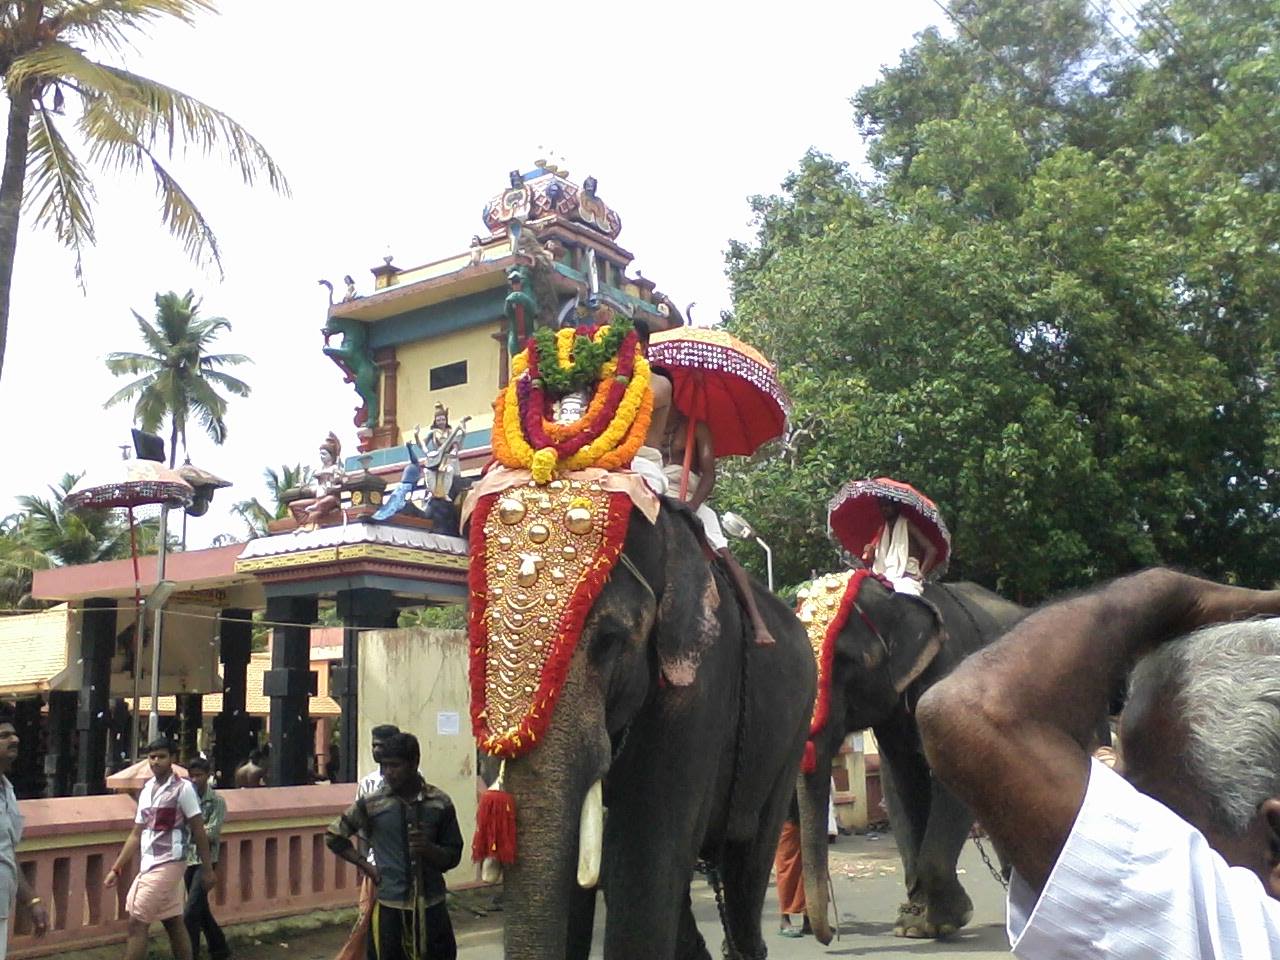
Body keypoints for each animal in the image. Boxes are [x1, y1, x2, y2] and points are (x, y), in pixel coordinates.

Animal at [468, 481, 808, 960]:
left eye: (609, 641)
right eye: (475, 640)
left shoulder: (698, 691)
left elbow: (645, 861)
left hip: (790, 738)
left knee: (748, 863)